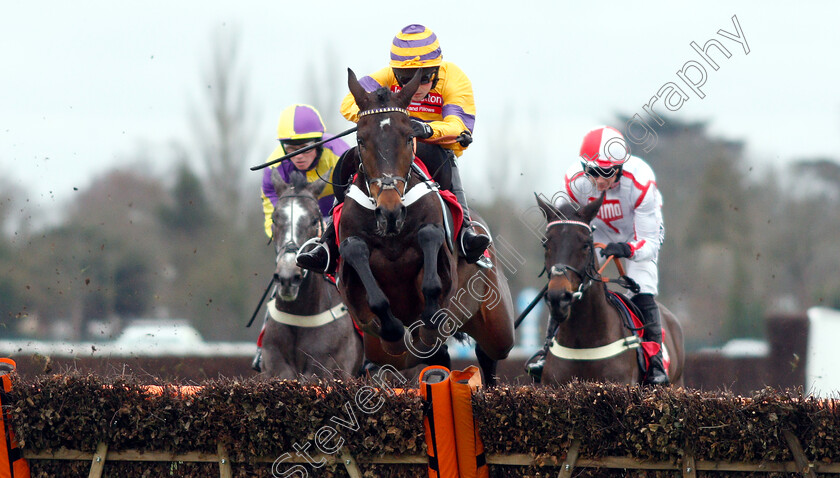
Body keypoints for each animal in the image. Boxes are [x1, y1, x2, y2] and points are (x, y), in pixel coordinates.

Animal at [260, 170, 364, 380]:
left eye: (314, 220)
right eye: (274, 219)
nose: (287, 278)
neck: (300, 316)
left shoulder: (328, 370)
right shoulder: (276, 370)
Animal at [334, 68, 512, 384]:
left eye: (408, 137)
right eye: (361, 139)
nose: (390, 211)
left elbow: (430, 243)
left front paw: (430, 319)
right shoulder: (356, 290)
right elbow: (357, 256)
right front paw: (394, 329)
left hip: (497, 323)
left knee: (488, 352)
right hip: (381, 352)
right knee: (434, 357)